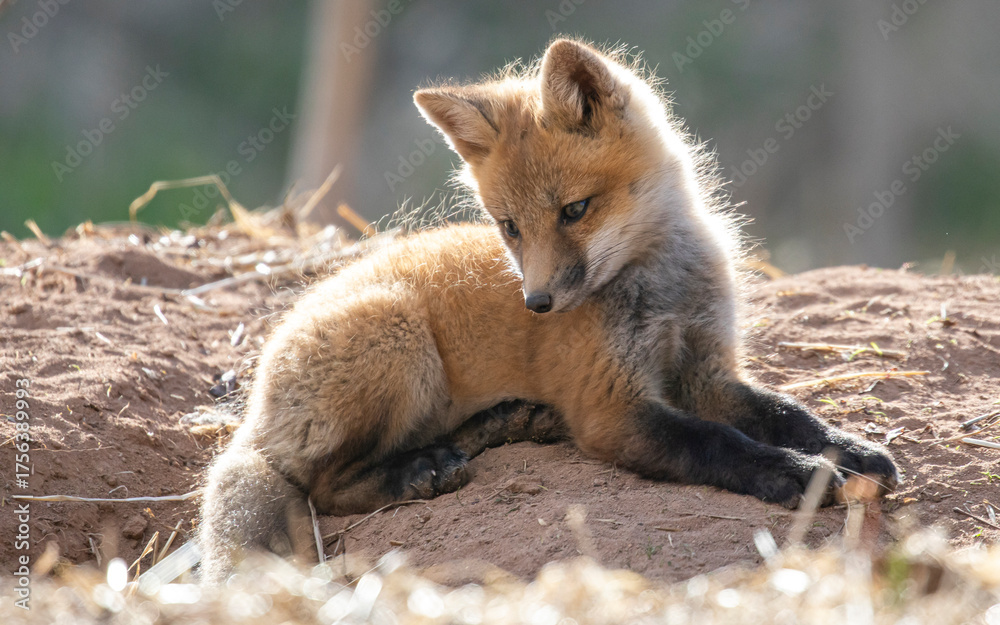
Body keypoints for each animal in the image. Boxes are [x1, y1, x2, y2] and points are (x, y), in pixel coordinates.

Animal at [198, 38, 899, 583]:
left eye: (574, 210)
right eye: (509, 227)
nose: (536, 304)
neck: (660, 289)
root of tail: (252, 412)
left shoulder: (707, 370)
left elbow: (786, 414)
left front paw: (850, 449)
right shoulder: (610, 409)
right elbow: (719, 442)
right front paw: (799, 474)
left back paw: (499, 427)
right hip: (396, 339)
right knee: (323, 485)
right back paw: (416, 474)